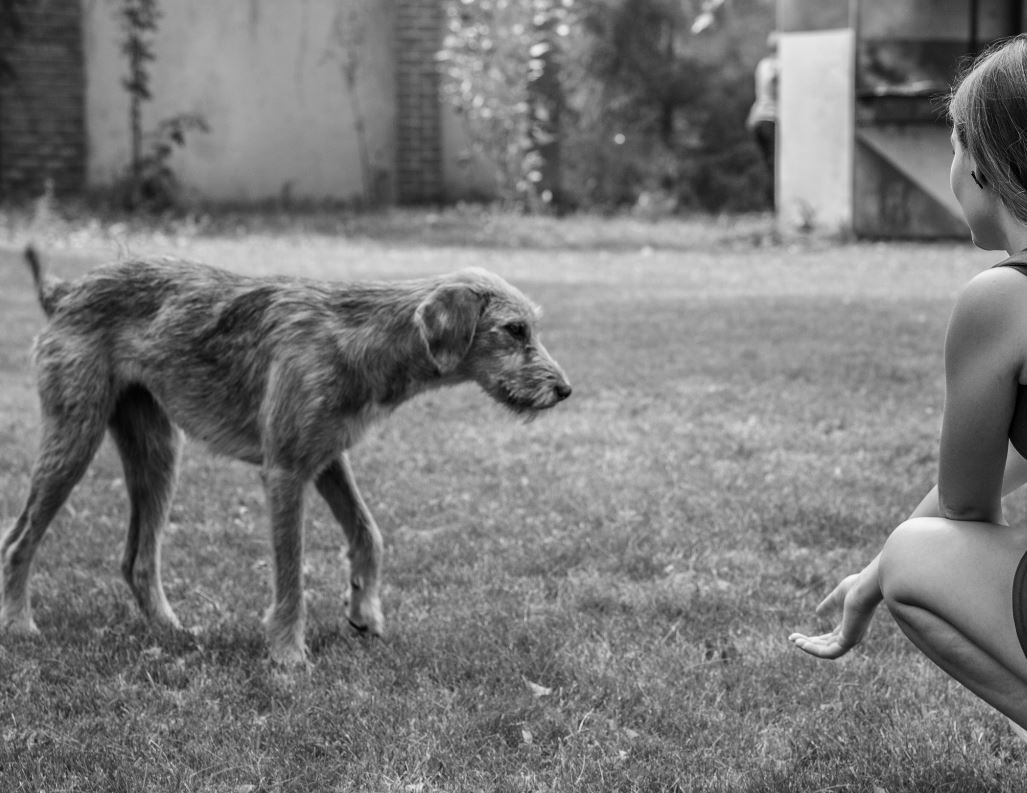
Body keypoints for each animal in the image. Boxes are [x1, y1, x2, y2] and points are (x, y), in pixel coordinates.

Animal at [2, 246, 571, 661]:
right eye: (514, 330)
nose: (565, 390)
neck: (362, 336)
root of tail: (64, 292)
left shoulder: (328, 459)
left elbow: (369, 532)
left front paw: (365, 609)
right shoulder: (286, 472)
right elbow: (291, 571)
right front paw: (288, 657)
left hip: (158, 452)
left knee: (137, 560)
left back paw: (172, 631)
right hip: (74, 440)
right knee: (19, 540)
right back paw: (19, 622)